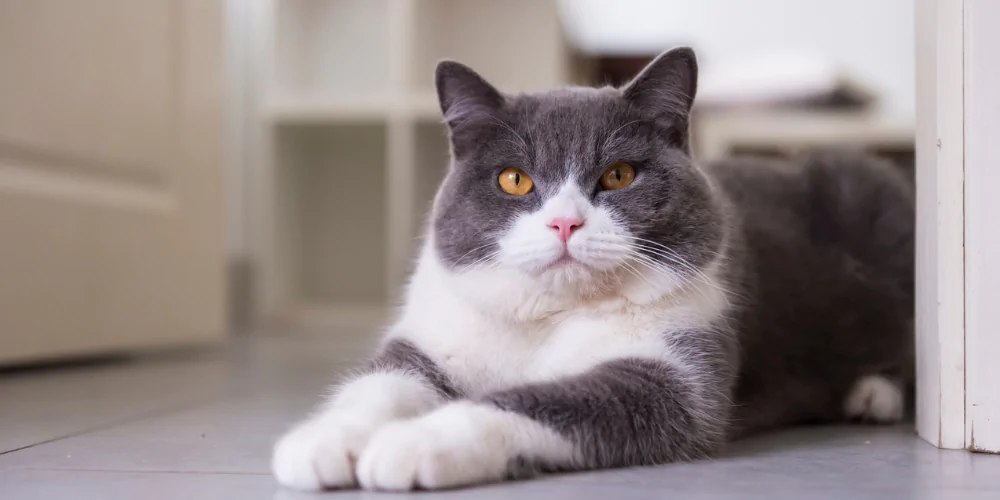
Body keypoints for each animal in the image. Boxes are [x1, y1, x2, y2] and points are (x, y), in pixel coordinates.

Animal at [272, 47, 916, 492]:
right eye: (514, 179)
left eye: (619, 175)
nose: (565, 223)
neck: (550, 316)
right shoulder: (437, 335)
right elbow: (382, 381)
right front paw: (324, 441)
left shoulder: (676, 378)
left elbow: (537, 402)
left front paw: (413, 443)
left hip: (881, 201)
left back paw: (873, 393)